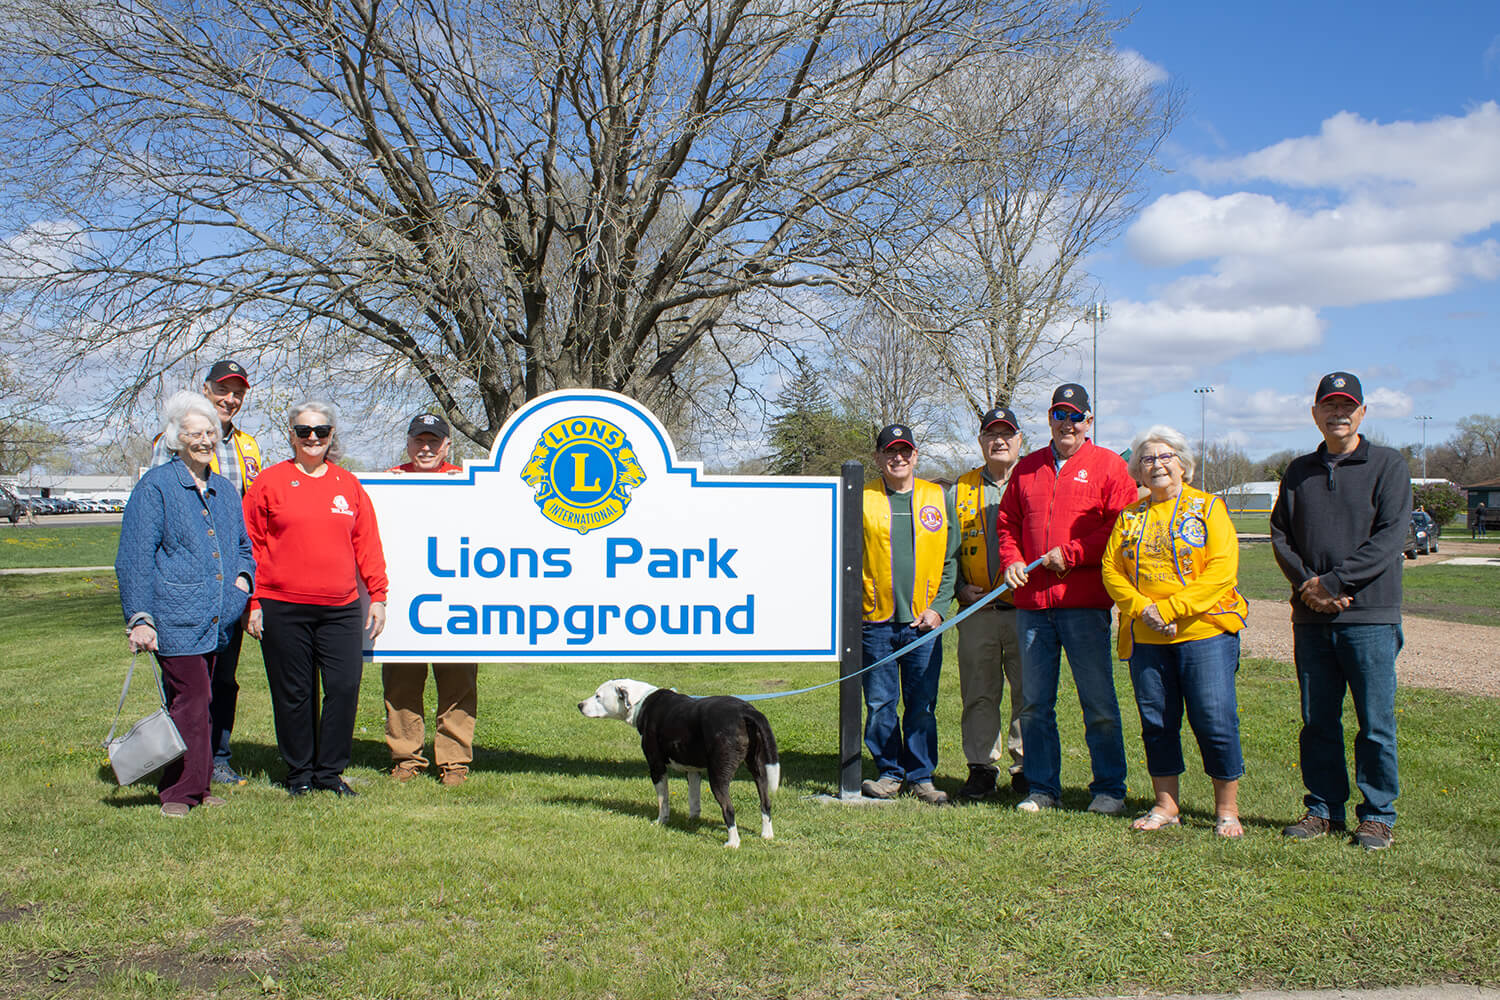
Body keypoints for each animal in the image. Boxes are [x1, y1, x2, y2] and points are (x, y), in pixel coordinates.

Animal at [576, 677, 786, 851]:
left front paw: (661, 821)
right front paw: (692, 820)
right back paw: (767, 834)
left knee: (729, 809)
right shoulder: (692, 770)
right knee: (765, 803)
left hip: (718, 776)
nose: (580, 705)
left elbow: (663, 801)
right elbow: (694, 800)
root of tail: (746, 712)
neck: (640, 702)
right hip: (759, 770)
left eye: (598, 696)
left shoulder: (656, 767)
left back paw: (733, 843)